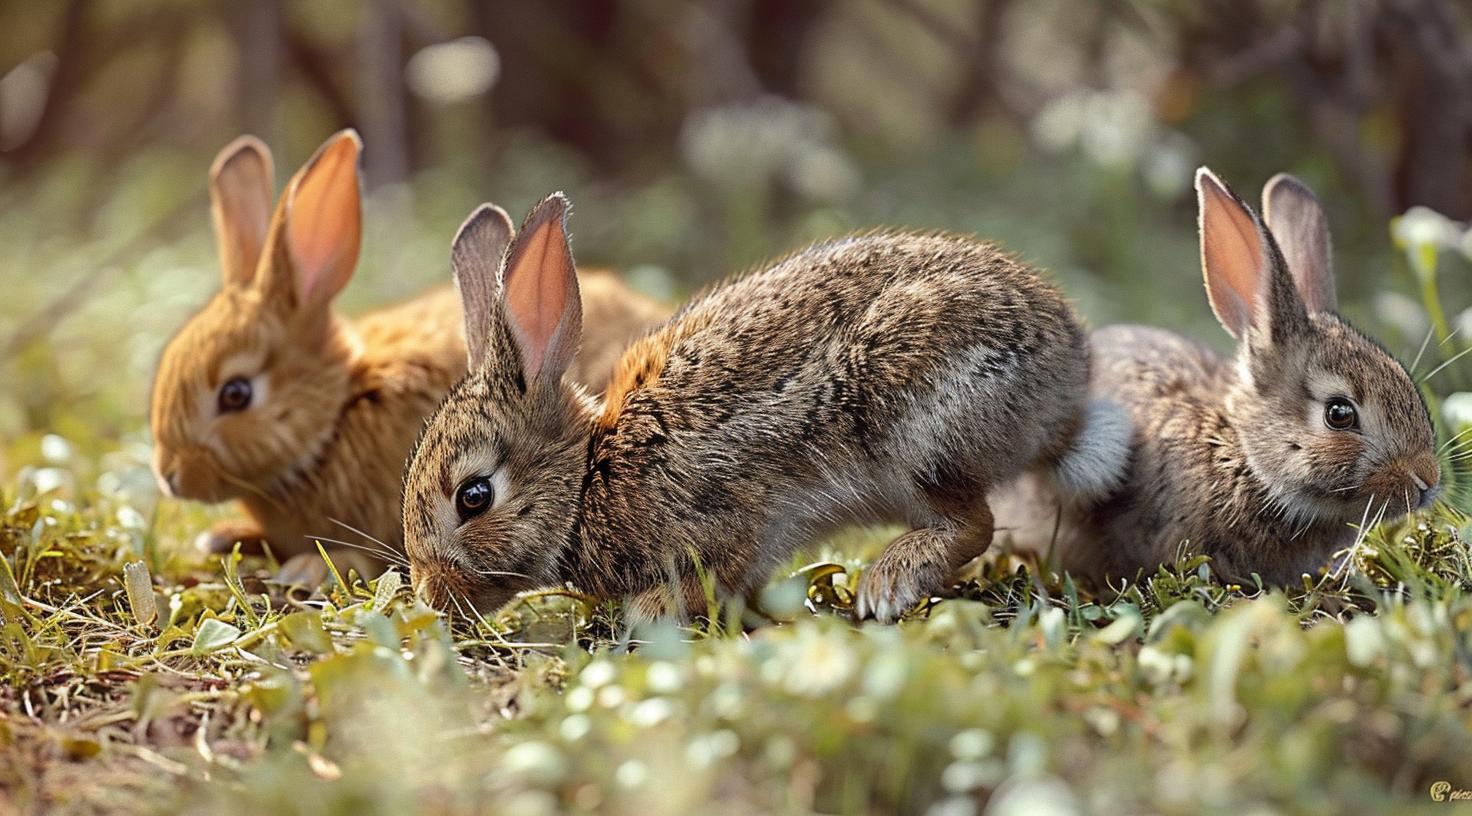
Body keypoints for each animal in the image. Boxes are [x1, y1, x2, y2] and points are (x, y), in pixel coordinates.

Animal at [400, 193, 1131, 624]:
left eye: (473, 497)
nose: (432, 596)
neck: (589, 478)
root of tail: (1067, 386)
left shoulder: (724, 526)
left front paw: (652, 614)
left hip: (912, 422)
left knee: (973, 523)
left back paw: (887, 584)